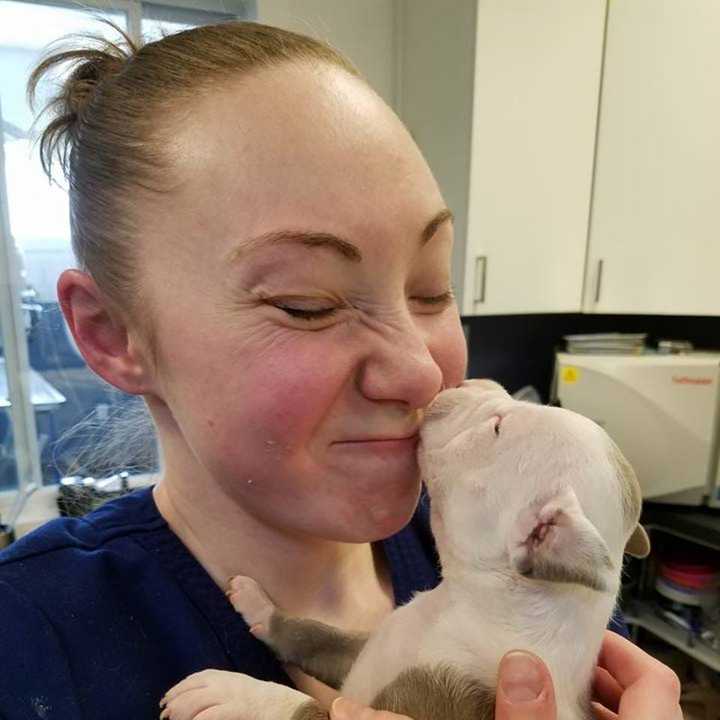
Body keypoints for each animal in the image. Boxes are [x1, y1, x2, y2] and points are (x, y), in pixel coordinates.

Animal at [165, 376, 652, 720]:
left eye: (497, 426)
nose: (467, 381)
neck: (467, 602)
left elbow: (307, 708)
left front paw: (233, 694)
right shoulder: (365, 649)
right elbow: (316, 635)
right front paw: (260, 606)